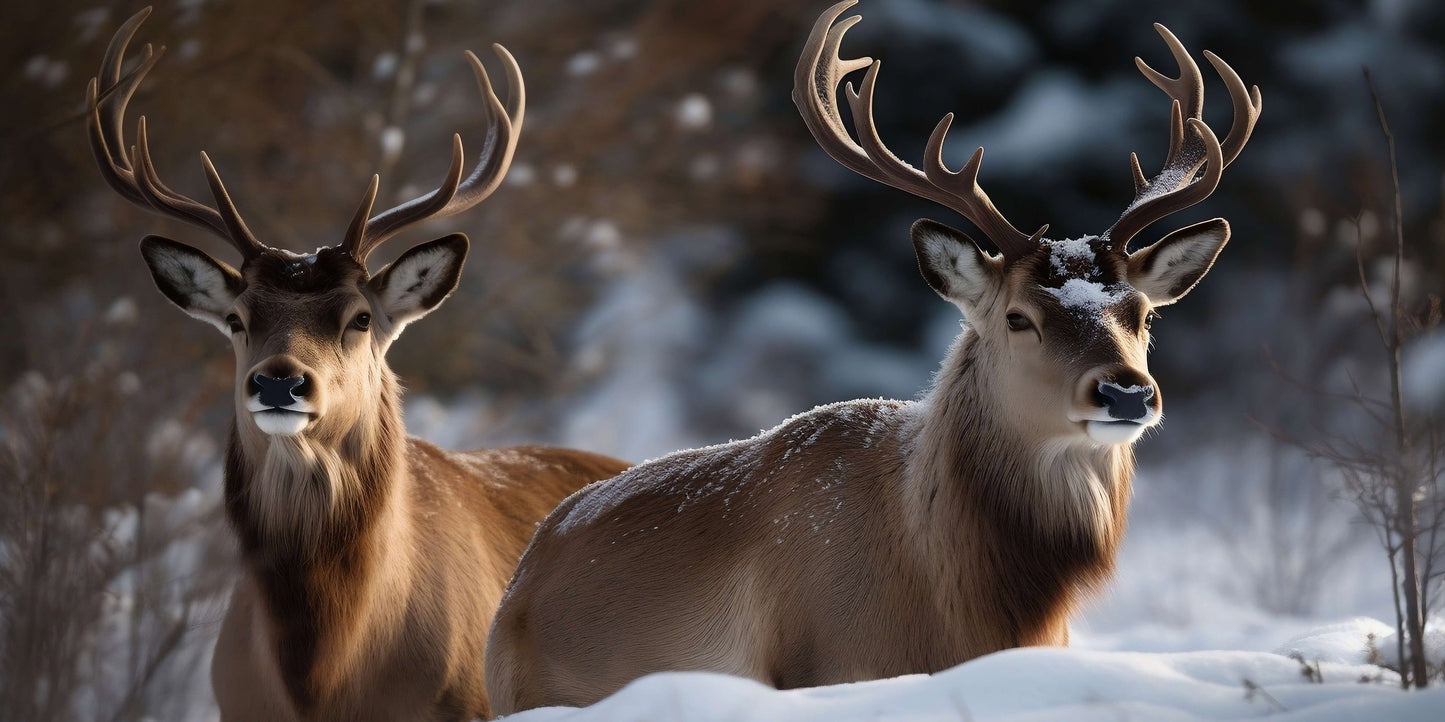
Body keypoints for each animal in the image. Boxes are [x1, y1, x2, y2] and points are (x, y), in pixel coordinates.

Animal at [485, 1, 1261, 712]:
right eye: (1018, 317)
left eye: (1142, 314)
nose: (1126, 393)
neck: (967, 605)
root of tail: (521, 581)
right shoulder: (829, 667)